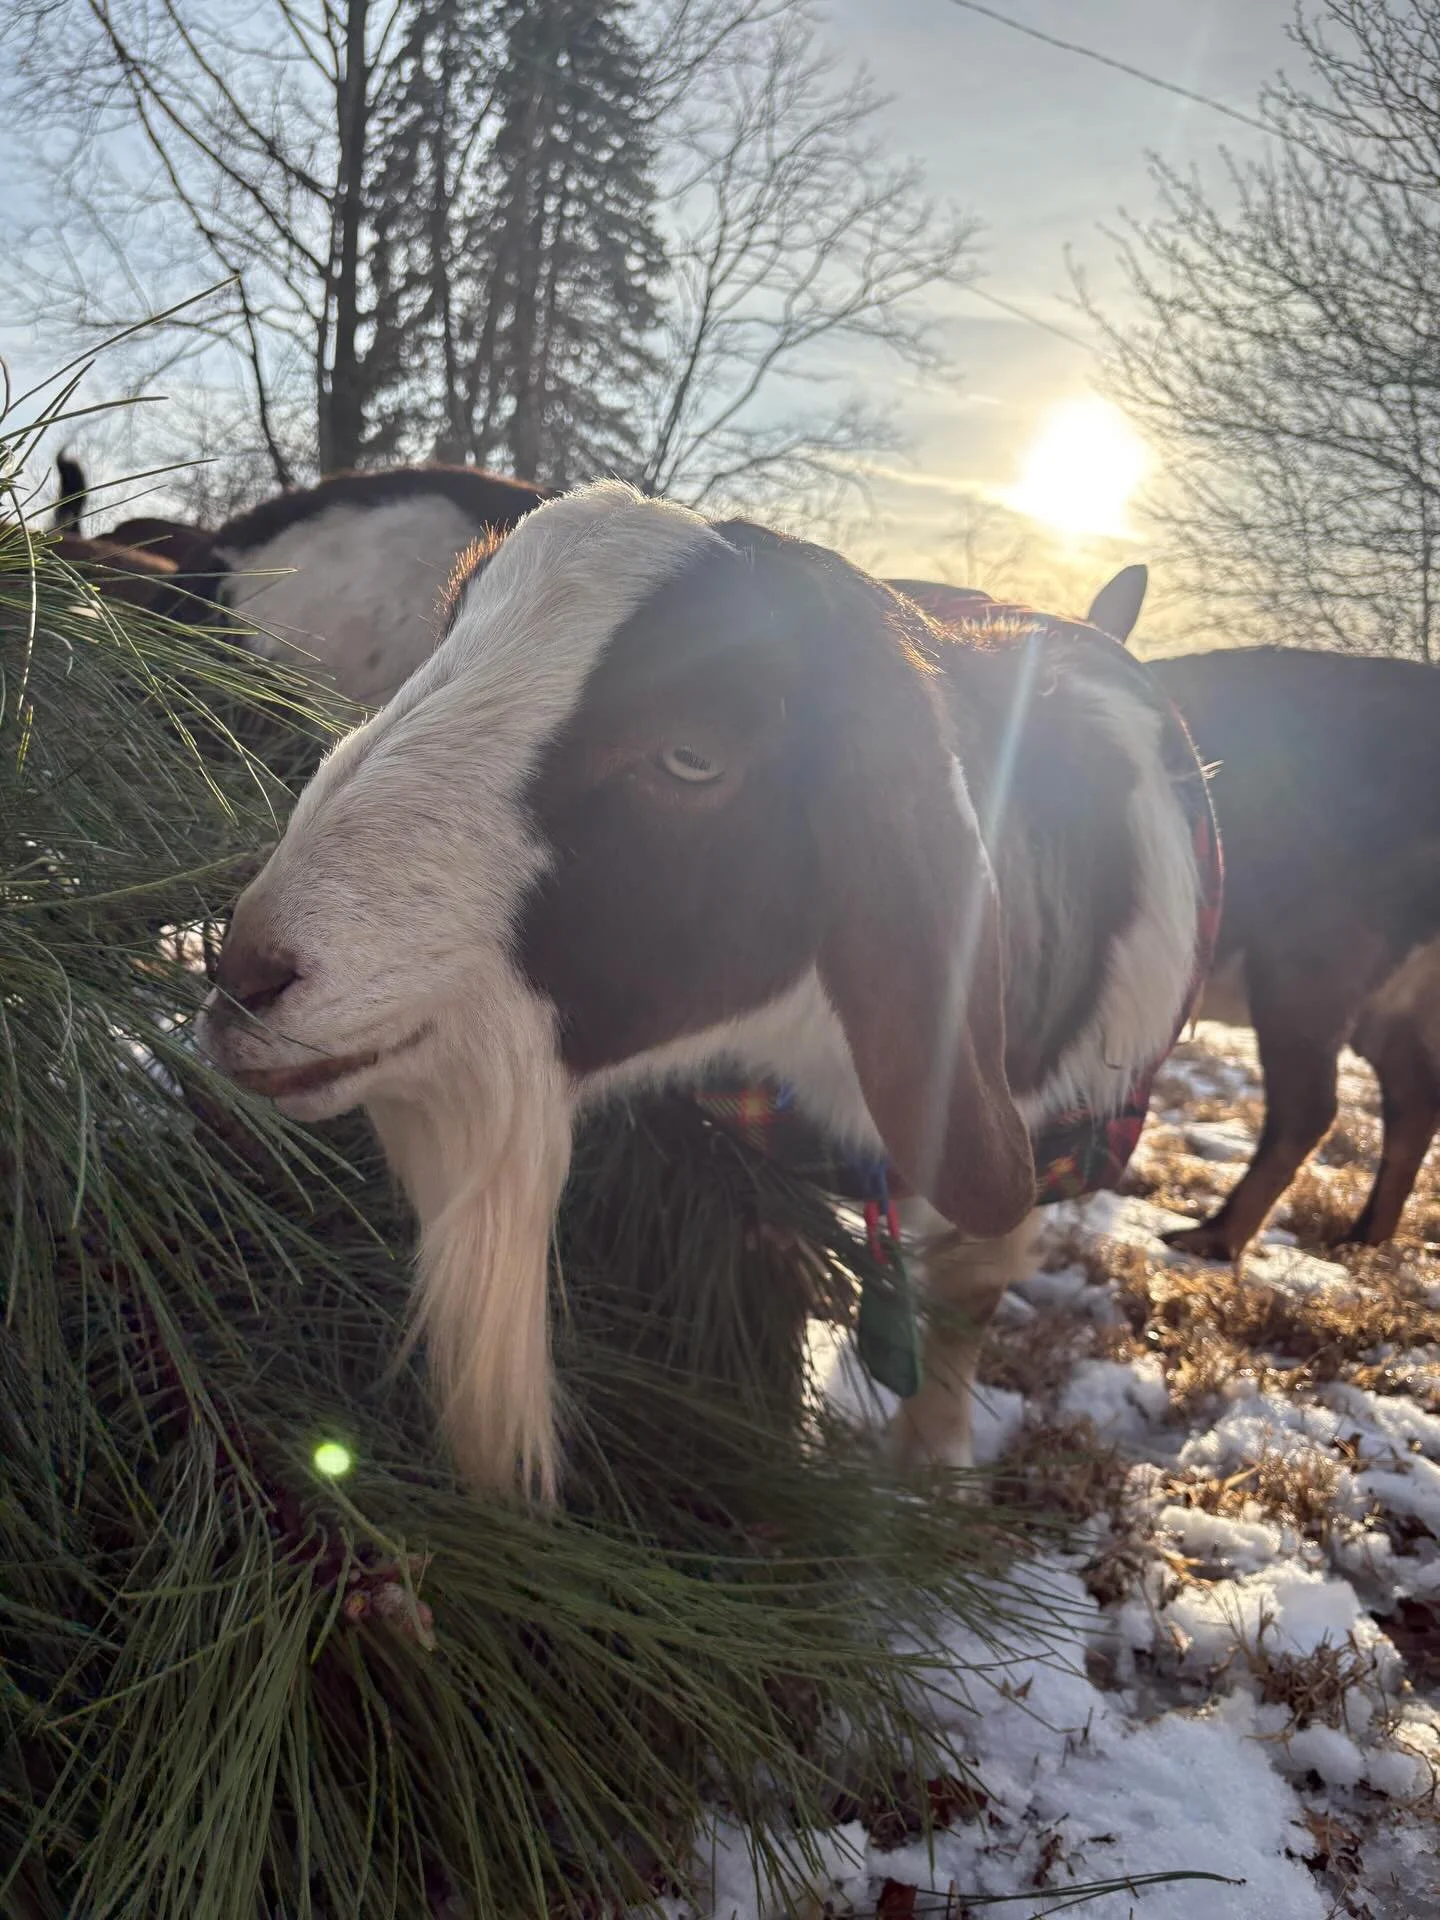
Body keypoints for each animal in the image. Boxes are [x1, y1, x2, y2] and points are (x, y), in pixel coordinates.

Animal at [1084, 572, 1440, 1256]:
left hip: (1312, 961)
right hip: (1389, 1000)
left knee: (1311, 1108)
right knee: (1413, 1099)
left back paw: (1211, 1238)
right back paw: (1360, 1240)